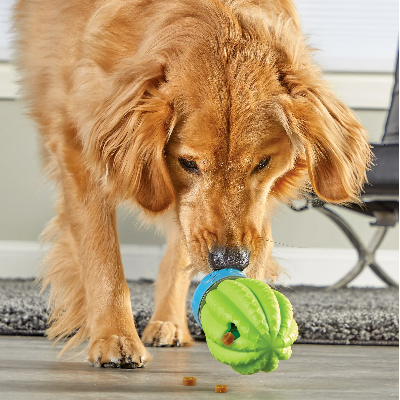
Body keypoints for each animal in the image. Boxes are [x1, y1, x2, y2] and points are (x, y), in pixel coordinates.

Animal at [12, 0, 370, 368]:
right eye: (187, 163)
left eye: (262, 163)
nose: (231, 261)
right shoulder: (80, 149)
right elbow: (103, 258)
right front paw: (115, 337)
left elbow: (182, 248)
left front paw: (168, 319)